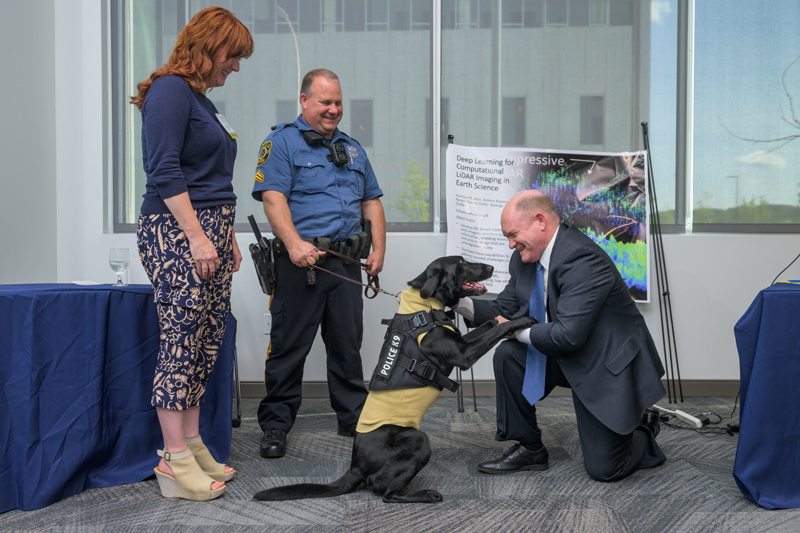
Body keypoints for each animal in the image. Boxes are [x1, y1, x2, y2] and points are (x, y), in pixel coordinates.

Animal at [253, 256, 536, 502]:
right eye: (462, 262)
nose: (491, 267)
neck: (425, 306)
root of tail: (355, 466)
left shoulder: (462, 342)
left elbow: (489, 324)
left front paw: (507, 317)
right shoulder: (463, 355)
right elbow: (496, 329)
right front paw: (522, 319)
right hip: (419, 440)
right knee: (387, 494)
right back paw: (425, 495)